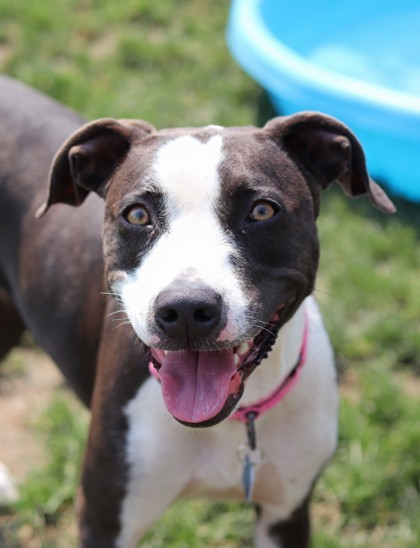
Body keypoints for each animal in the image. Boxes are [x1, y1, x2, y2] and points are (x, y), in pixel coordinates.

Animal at [0, 76, 394, 548]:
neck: (236, 419)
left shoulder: (287, 514)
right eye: (138, 214)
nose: (186, 309)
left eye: (262, 210)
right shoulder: (104, 518)